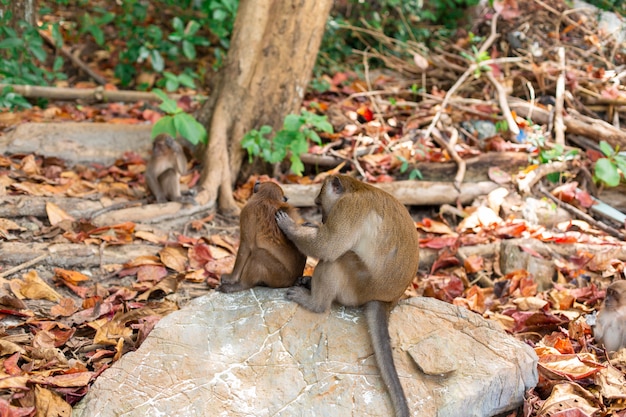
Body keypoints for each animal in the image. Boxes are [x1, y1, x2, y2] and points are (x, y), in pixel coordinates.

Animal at [274, 174, 416, 416]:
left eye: (319, 203)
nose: (322, 218)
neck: (357, 189)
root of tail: (387, 300)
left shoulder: (349, 208)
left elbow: (327, 246)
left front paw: (290, 226)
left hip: (357, 286)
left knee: (336, 259)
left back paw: (315, 303)